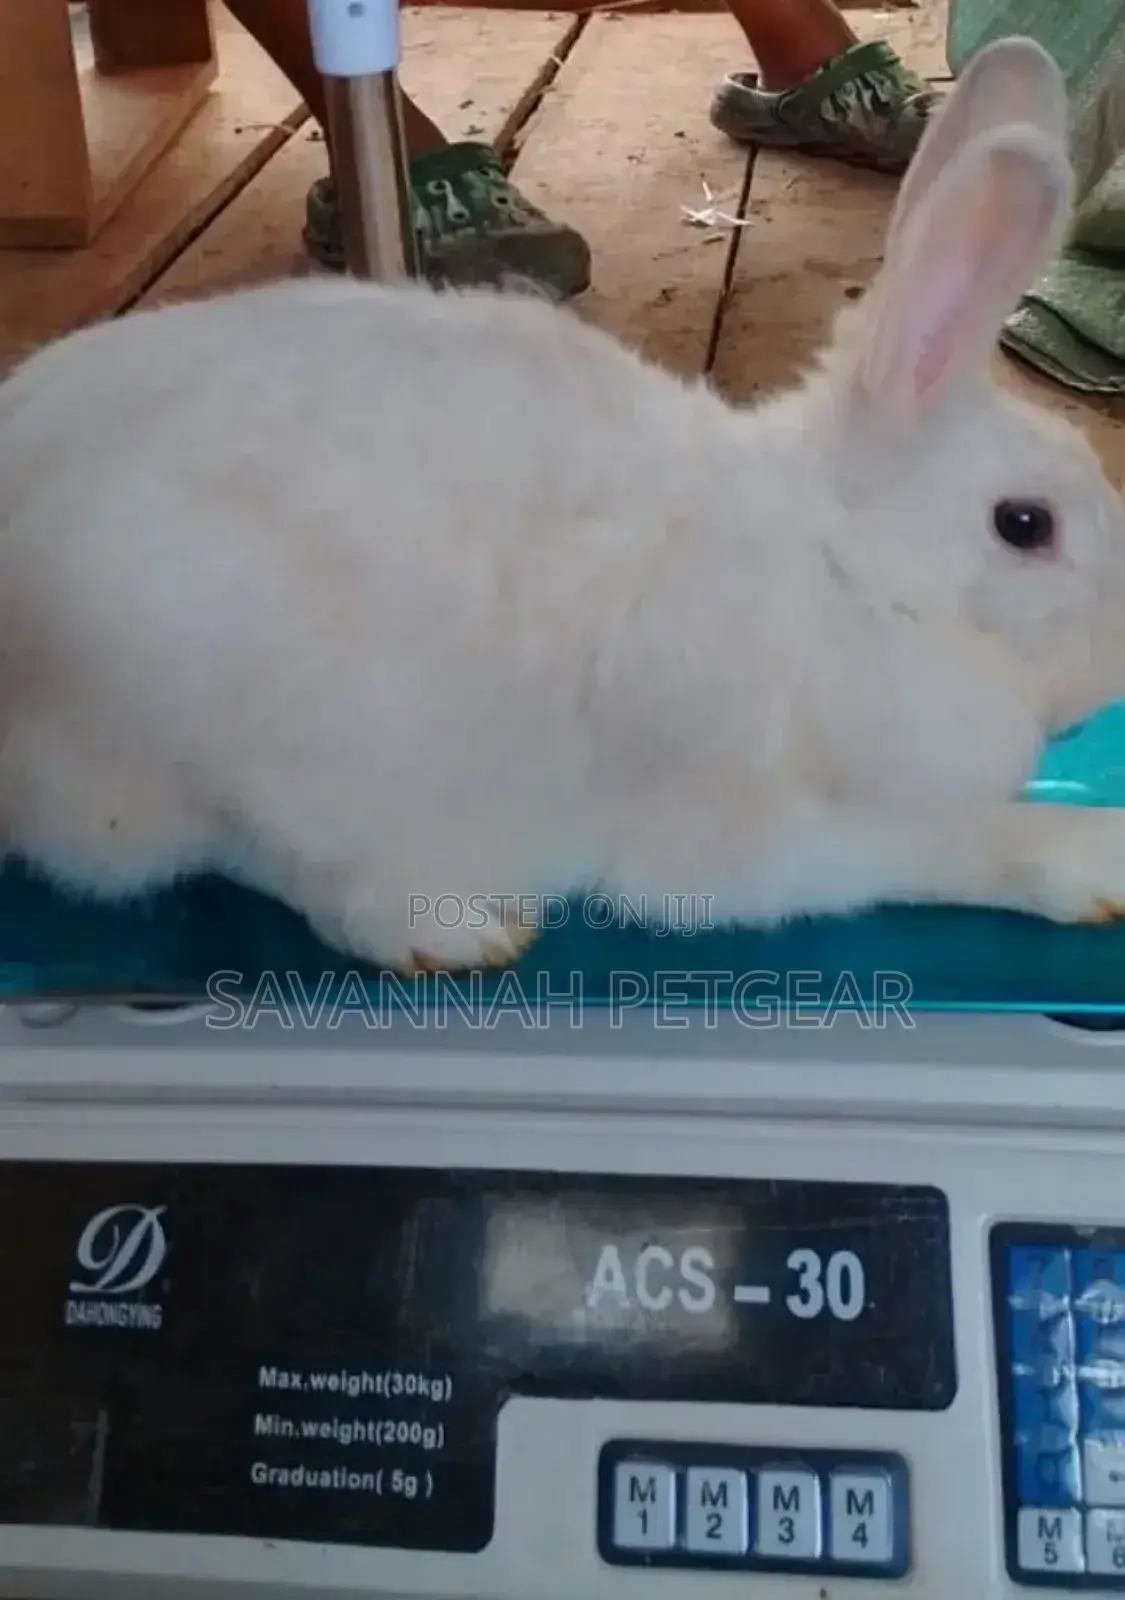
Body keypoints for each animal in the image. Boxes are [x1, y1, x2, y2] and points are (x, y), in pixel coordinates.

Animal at [0, 33, 1124, 976]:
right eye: (1026, 525)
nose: (1116, 658)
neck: (846, 576)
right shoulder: (758, 834)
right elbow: (946, 841)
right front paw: (1093, 860)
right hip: (218, 727)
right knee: (267, 858)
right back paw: (447, 926)